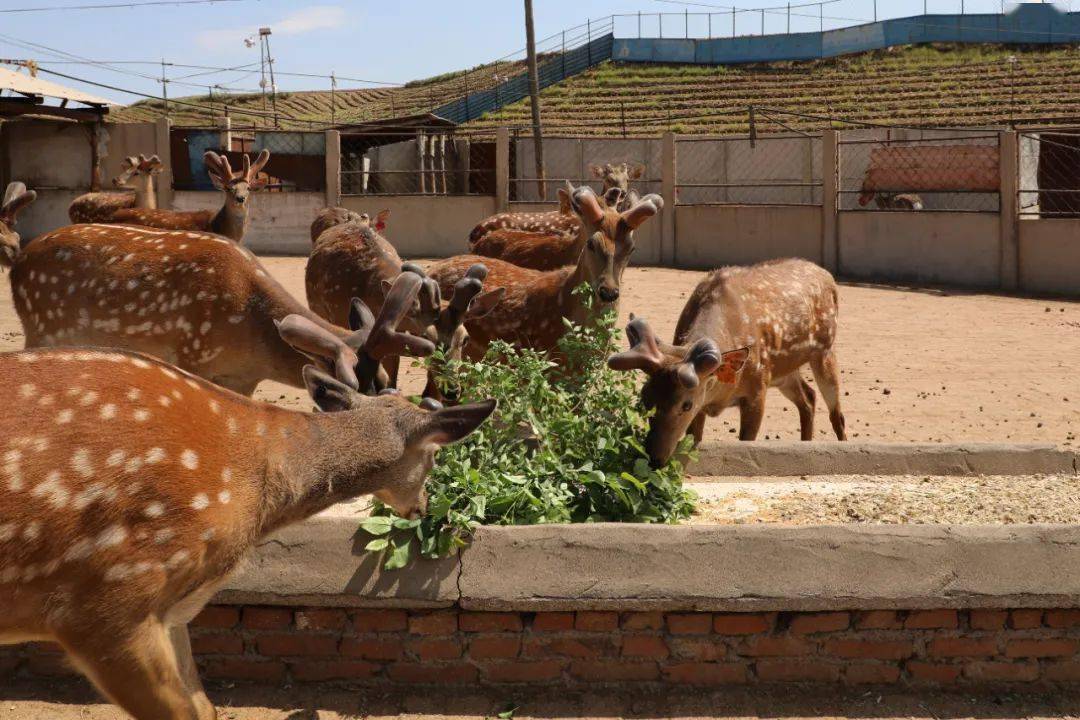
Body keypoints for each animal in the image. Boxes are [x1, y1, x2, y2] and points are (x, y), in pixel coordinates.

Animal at [7, 223, 435, 397]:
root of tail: (15, 266)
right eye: (359, 388)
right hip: (41, 328)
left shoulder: (243, 379)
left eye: (385, 379)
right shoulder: (194, 357)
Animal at [608, 259, 848, 467]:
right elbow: (694, 439)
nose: (654, 459)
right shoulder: (707, 400)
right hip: (783, 373)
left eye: (686, 404)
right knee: (808, 398)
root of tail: (828, 276)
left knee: (836, 413)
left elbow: (746, 440)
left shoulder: (756, 390)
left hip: (824, 352)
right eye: (644, 398)